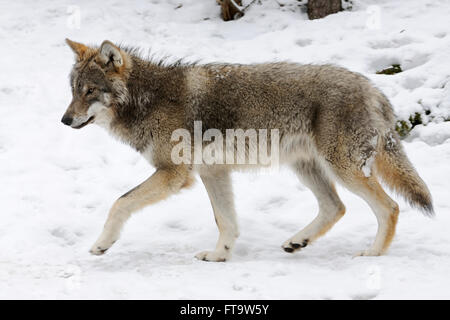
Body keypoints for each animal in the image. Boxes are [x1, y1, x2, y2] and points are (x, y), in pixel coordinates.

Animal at [60, 38, 432, 262]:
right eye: (73, 90)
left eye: (90, 91)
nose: (64, 120)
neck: (148, 99)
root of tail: (374, 89)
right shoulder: (213, 172)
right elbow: (226, 222)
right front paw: (219, 257)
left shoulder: (174, 174)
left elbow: (119, 203)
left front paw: (102, 244)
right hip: (307, 168)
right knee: (335, 208)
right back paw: (297, 242)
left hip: (343, 168)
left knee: (390, 207)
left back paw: (373, 254)